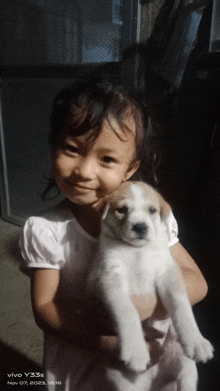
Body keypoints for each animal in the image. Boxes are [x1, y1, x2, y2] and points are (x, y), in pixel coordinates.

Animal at [87, 182, 213, 390]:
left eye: (152, 210)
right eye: (122, 209)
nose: (140, 227)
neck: (137, 250)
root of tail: (156, 380)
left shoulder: (167, 273)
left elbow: (181, 305)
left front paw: (196, 340)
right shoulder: (110, 276)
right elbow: (127, 310)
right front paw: (136, 351)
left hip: (185, 367)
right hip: (125, 384)